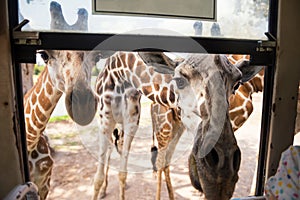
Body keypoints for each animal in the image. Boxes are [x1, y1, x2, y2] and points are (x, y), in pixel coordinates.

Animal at [92, 51, 262, 200]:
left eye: (236, 85)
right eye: (179, 81)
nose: (221, 175)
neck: (121, 74)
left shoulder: (132, 122)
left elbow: (122, 172)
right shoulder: (104, 120)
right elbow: (97, 178)